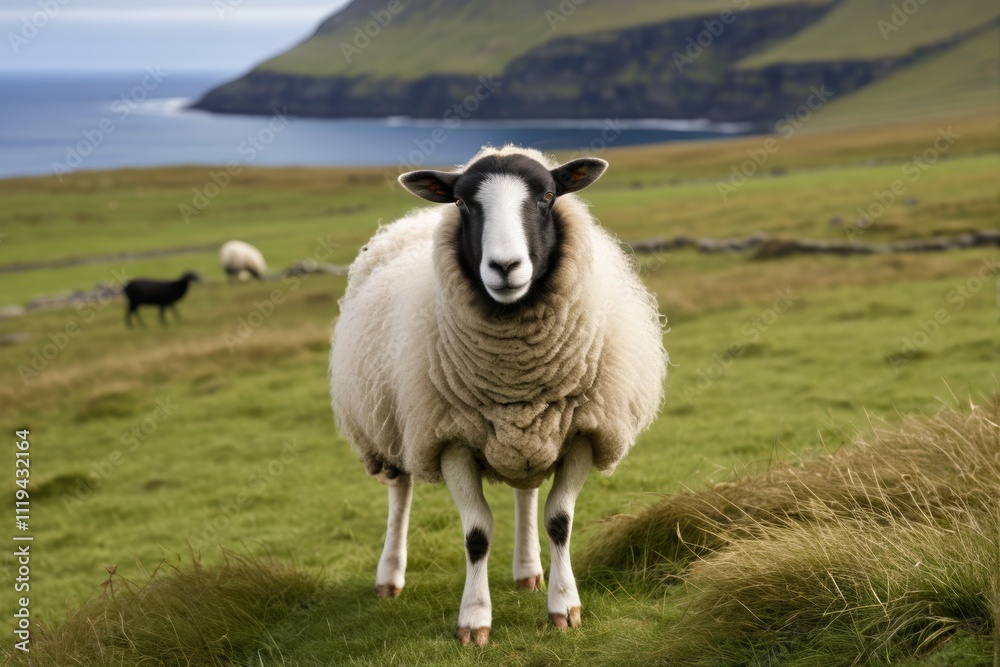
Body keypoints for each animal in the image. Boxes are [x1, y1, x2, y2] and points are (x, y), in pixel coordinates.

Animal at [329, 145, 667, 646]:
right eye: (462, 202)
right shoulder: (448, 439)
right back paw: (389, 577)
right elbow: (476, 534)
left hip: (527, 432)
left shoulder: (584, 432)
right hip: (390, 421)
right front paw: (474, 620)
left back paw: (527, 571)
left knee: (526, 492)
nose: (505, 267)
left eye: (547, 196)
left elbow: (559, 521)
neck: (516, 374)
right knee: (400, 493)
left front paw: (564, 606)